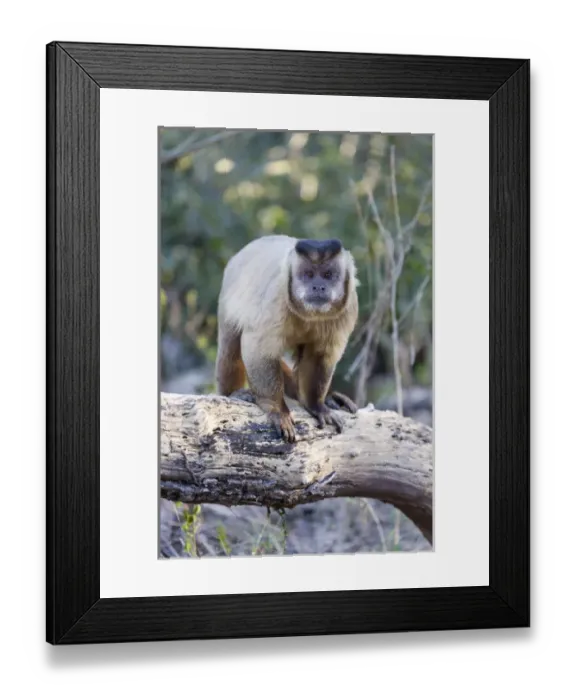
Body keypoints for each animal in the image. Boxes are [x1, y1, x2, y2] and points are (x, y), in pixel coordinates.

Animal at [215, 234, 359, 442]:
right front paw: (276, 409)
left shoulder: (349, 306)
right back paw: (233, 393)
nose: (318, 286)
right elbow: (259, 351)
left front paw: (316, 405)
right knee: (230, 347)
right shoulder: (276, 297)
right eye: (308, 274)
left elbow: (321, 355)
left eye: (328, 275)